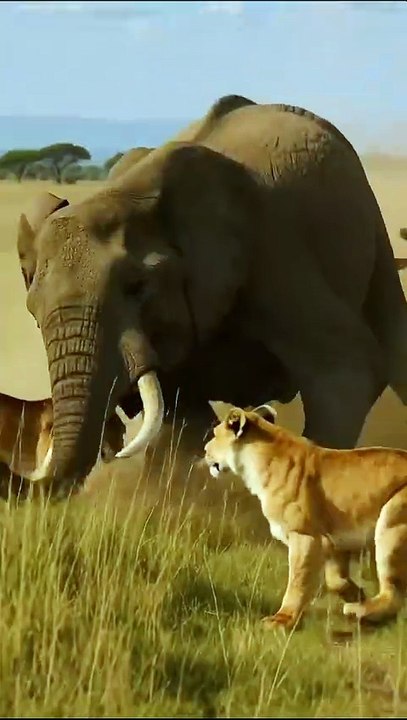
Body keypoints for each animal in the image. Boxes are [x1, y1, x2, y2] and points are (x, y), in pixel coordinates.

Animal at [204, 400, 407, 630]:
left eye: (215, 434)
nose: (205, 450)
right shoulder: (331, 540)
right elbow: (335, 579)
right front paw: (357, 594)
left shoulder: (304, 535)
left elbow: (297, 581)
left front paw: (282, 620)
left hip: (391, 521)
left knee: (394, 592)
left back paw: (359, 611)